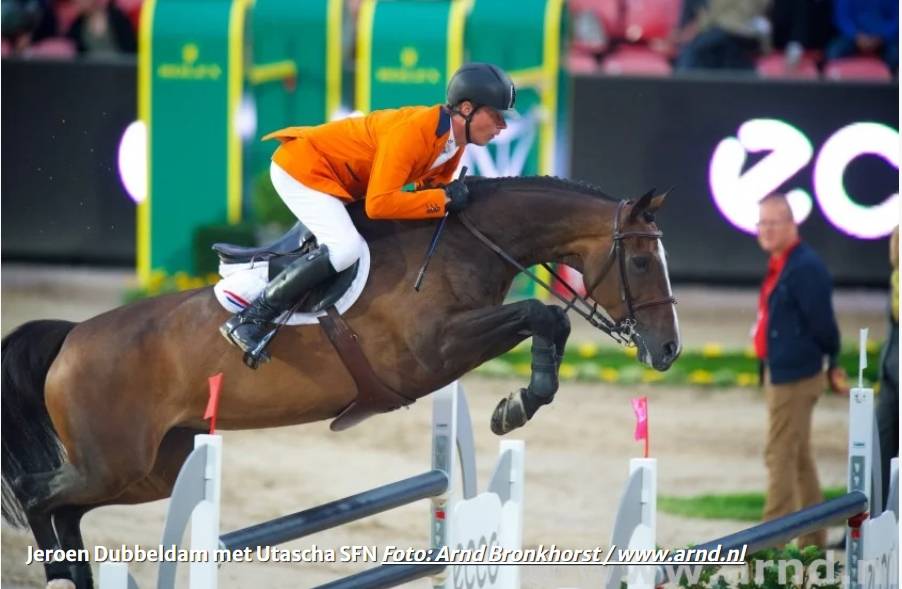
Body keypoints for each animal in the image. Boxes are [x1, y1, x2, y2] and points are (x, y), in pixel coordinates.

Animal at [1, 175, 681, 588]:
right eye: (640, 260)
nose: (669, 350)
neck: (463, 244)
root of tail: (72, 337)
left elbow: (545, 320)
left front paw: (517, 403)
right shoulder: (432, 353)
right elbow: (543, 315)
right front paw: (518, 404)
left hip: (148, 470)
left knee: (68, 509)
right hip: (113, 462)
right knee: (39, 496)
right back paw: (60, 574)